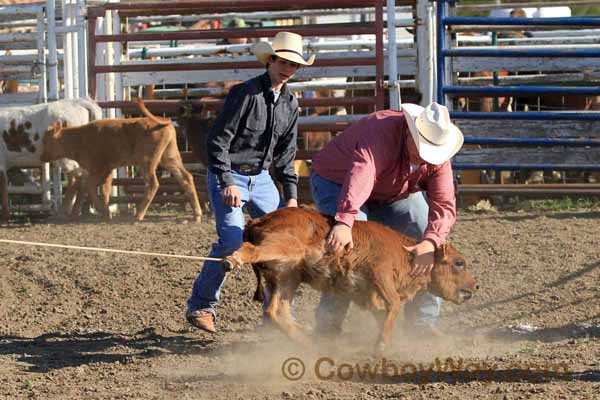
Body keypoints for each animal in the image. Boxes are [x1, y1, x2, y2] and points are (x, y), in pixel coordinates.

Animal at [41, 99, 204, 223]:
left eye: (45, 141)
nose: (42, 157)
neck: (79, 138)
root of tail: (162, 121)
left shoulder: (99, 168)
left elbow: (91, 186)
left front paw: (104, 211)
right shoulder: (108, 170)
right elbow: (105, 191)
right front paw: (106, 213)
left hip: (147, 161)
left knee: (153, 184)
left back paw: (138, 215)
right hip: (170, 157)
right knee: (186, 177)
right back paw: (197, 215)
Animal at [221, 206, 478, 350]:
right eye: (459, 263)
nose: (475, 285)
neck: (406, 254)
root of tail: (259, 220)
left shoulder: (370, 294)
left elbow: (382, 312)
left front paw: (384, 342)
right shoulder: (381, 274)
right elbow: (394, 304)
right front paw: (382, 344)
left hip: (288, 278)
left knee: (276, 312)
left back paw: (309, 344)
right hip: (284, 249)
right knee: (251, 250)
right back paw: (232, 259)